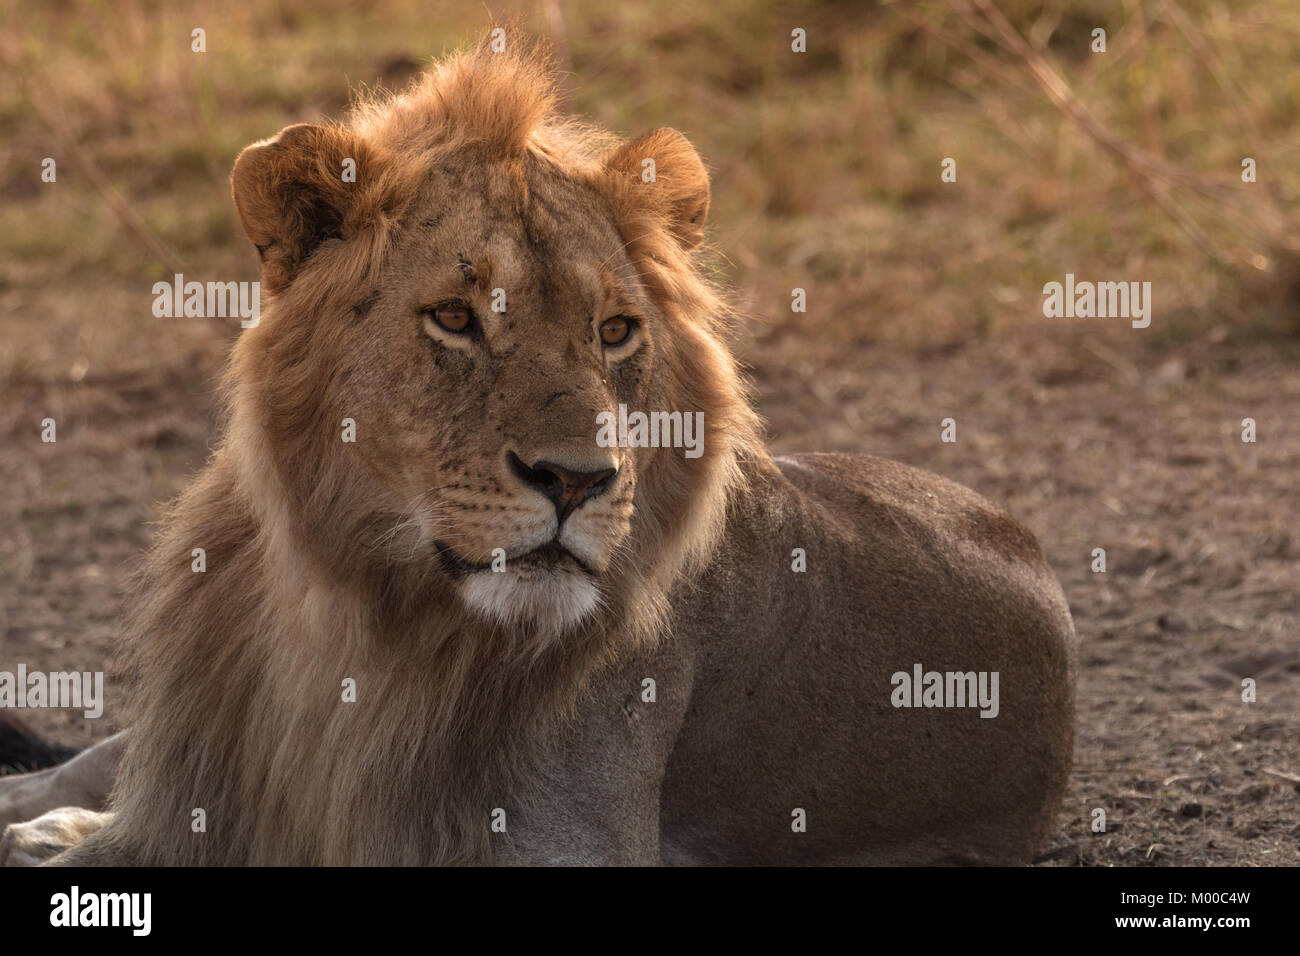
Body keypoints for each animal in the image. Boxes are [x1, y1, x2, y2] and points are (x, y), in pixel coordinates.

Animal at [0, 38, 1075, 866]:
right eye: (455, 317)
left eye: (614, 332)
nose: (577, 480)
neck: (349, 620)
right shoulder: (184, 799)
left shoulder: (563, 841)